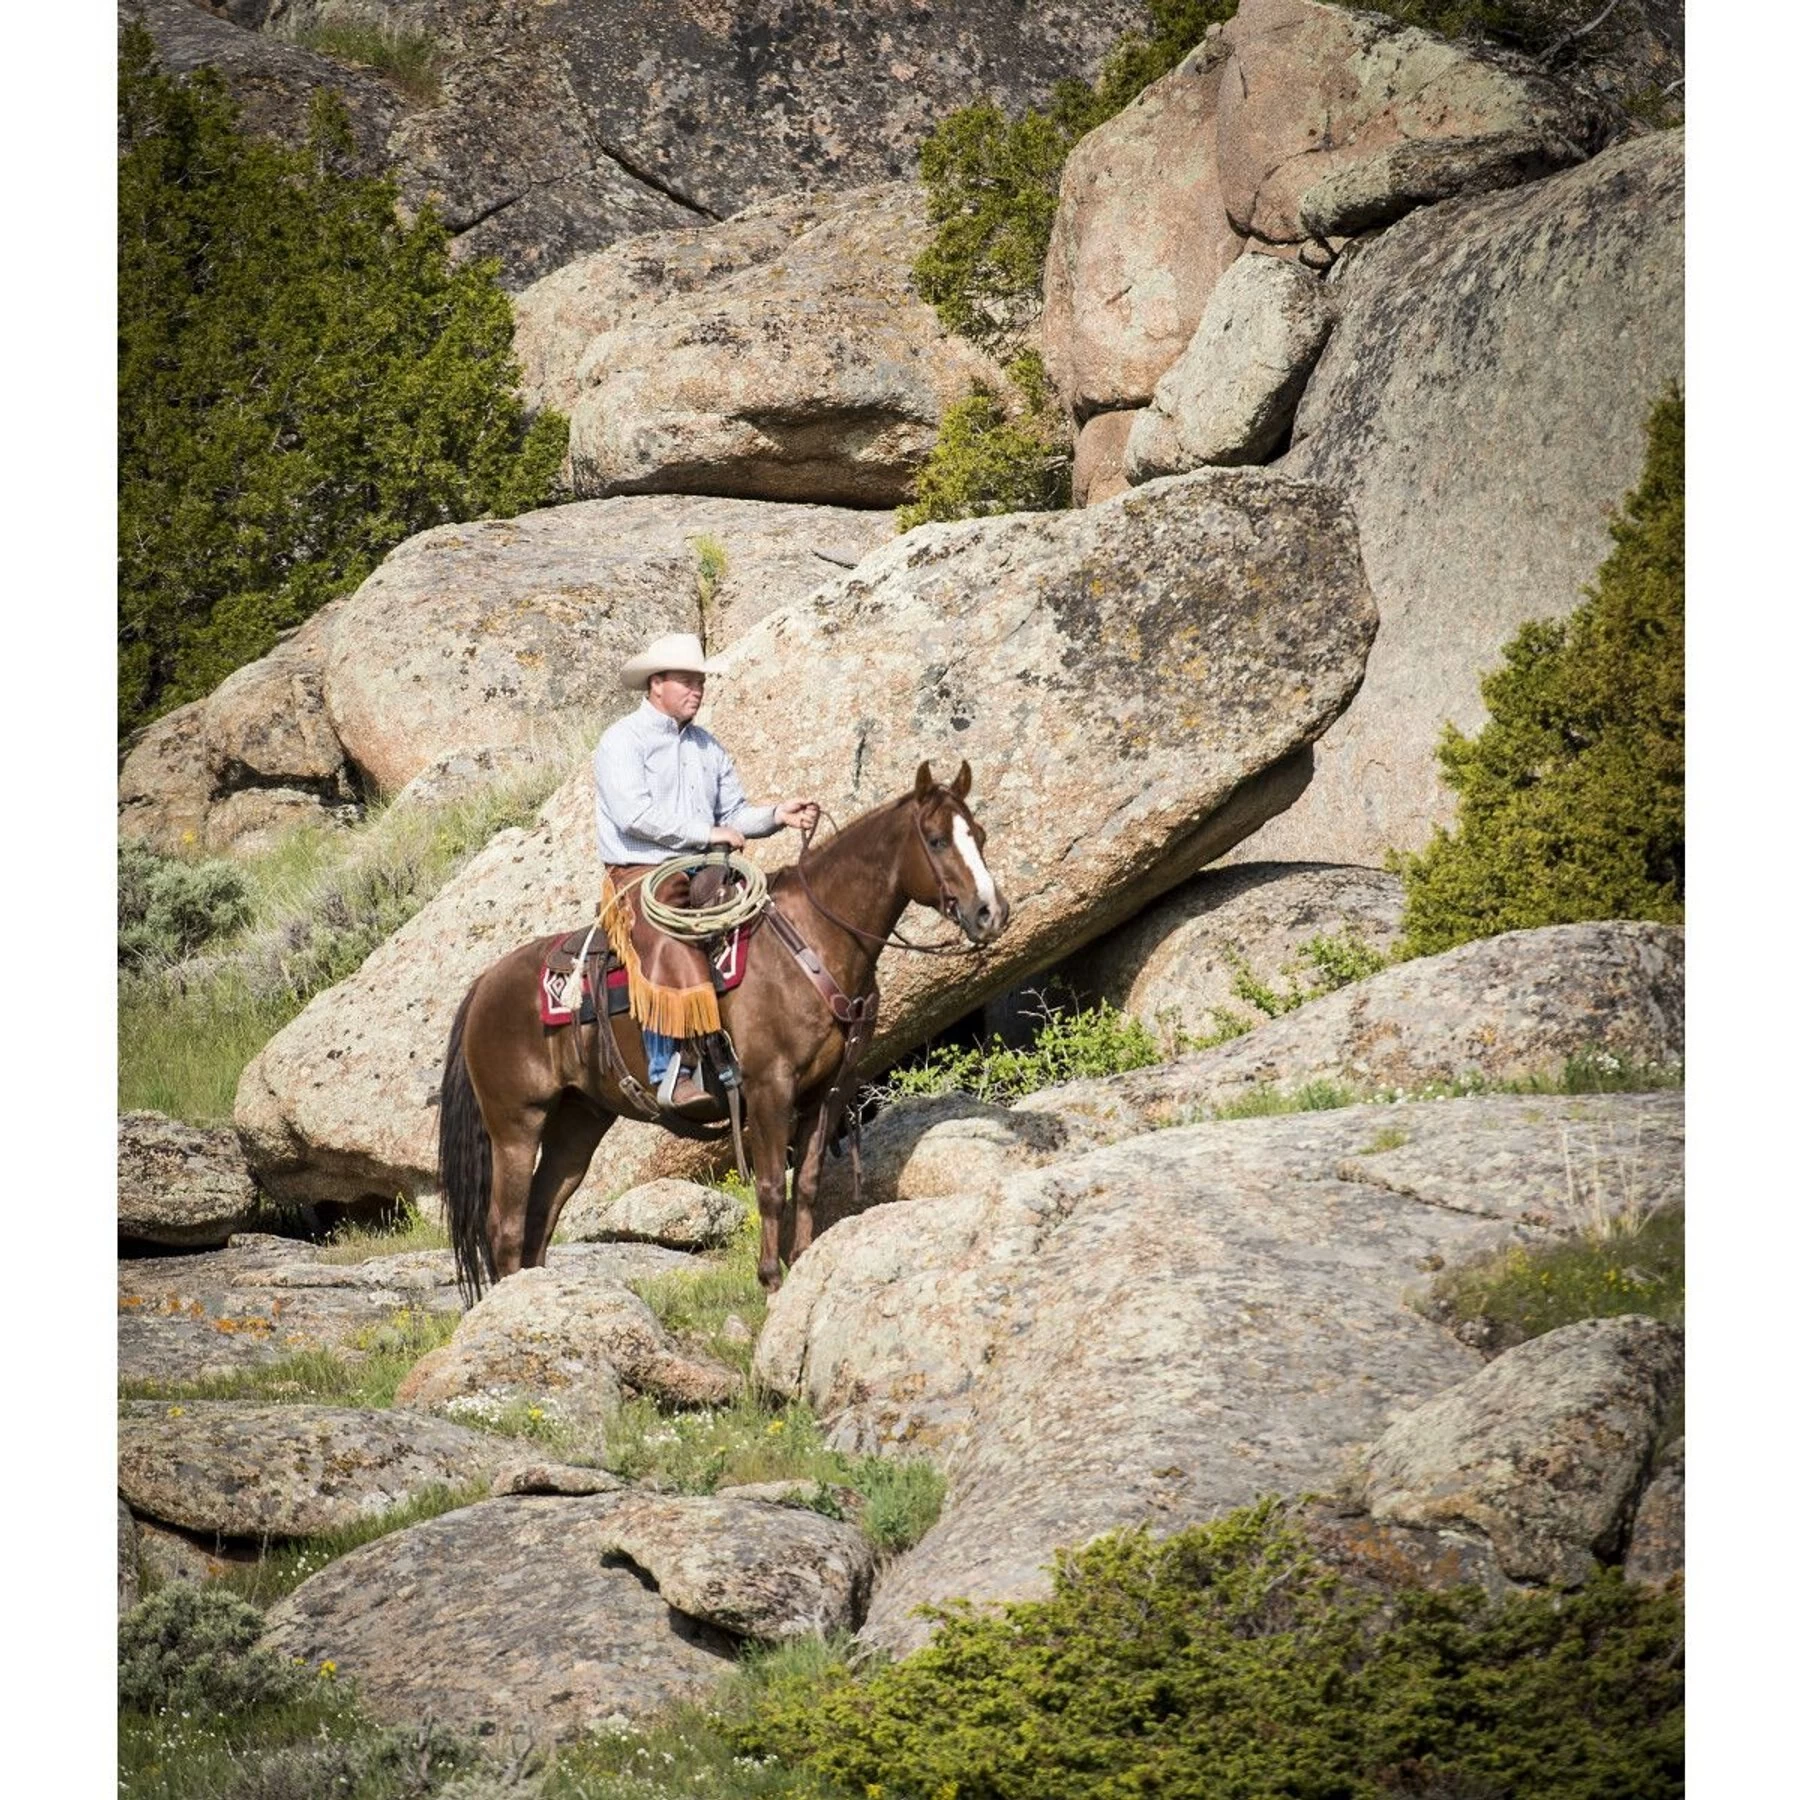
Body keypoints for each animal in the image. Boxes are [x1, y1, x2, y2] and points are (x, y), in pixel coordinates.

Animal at [437, 760, 1010, 1300]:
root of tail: (484, 984)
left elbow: (808, 1182)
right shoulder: (768, 1086)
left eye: (980, 835)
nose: (991, 913)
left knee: (540, 1215)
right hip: (516, 1124)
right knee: (505, 1227)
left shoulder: (826, 1090)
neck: (812, 942)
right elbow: (772, 1188)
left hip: (578, 1121)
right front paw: (771, 1281)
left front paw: (801, 1264)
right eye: (936, 839)